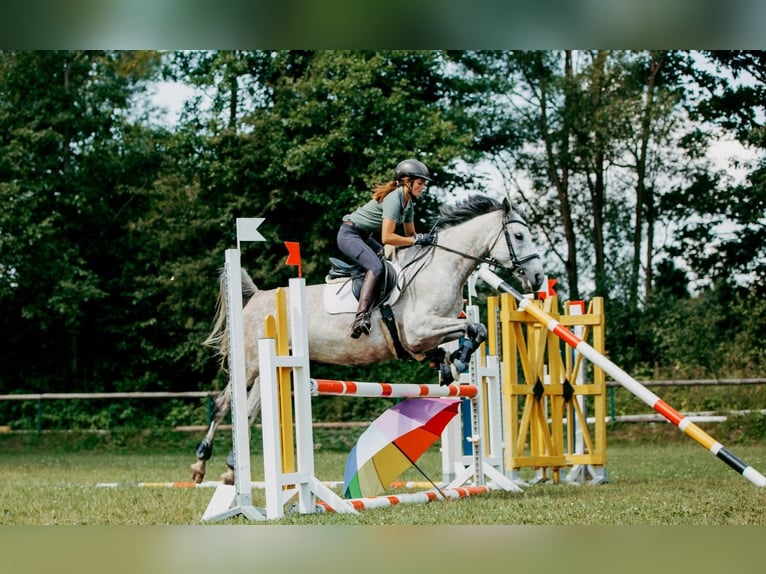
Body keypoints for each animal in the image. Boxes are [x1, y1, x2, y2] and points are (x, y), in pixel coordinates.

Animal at [190, 196, 544, 484]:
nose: (538, 278)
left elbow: (474, 331)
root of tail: (257, 298)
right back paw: (201, 465)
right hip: (250, 363)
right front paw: (455, 361)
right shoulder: (419, 331)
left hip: (270, 368)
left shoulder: (430, 333)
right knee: (224, 404)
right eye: (519, 236)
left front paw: (450, 363)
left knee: (249, 409)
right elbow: (473, 328)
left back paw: (231, 470)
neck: (443, 268)